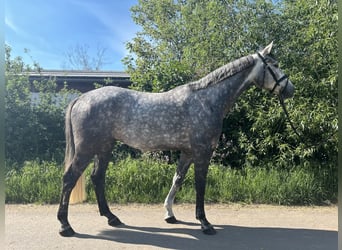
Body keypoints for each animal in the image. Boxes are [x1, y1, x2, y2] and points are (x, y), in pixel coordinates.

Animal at [57, 43, 292, 236]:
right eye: (274, 65)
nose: (290, 89)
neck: (207, 101)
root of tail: (81, 98)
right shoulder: (202, 152)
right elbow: (200, 185)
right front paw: (205, 223)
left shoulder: (187, 152)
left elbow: (177, 180)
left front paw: (169, 214)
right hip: (87, 149)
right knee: (69, 178)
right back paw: (65, 226)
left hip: (104, 147)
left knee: (97, 178)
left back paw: (112, 218)